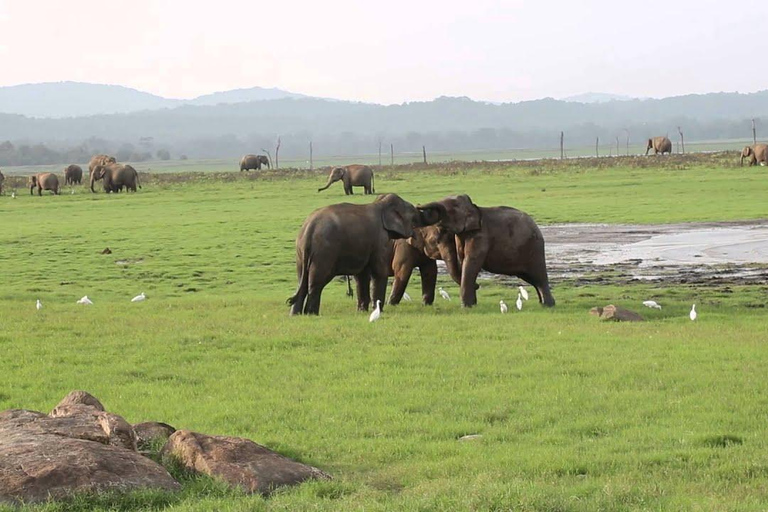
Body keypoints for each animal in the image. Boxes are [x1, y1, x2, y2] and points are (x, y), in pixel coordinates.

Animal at [286, 193, 438, 316]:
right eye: (414, 217)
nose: (420, 205)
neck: (379, 204)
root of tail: (309, 229)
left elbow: (361, 276)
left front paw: (362, 311)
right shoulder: (379, 240)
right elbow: (378, 272)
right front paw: (378, 310)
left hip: (300, 254)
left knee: (302, 280)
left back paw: (296, 314)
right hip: (324, 253)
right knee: (316, 282)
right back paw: (311, 314)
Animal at [416, 195, 556, 308]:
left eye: (451, 209)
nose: (417, 206)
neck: (474, 207)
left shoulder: (481, 236)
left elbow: (470, 262)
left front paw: (466, 307)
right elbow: (462, 262)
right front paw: (472, 304)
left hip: (534, 247)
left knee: (539, 276)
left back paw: (548, 305)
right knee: (532, 278)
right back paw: (543, 303)